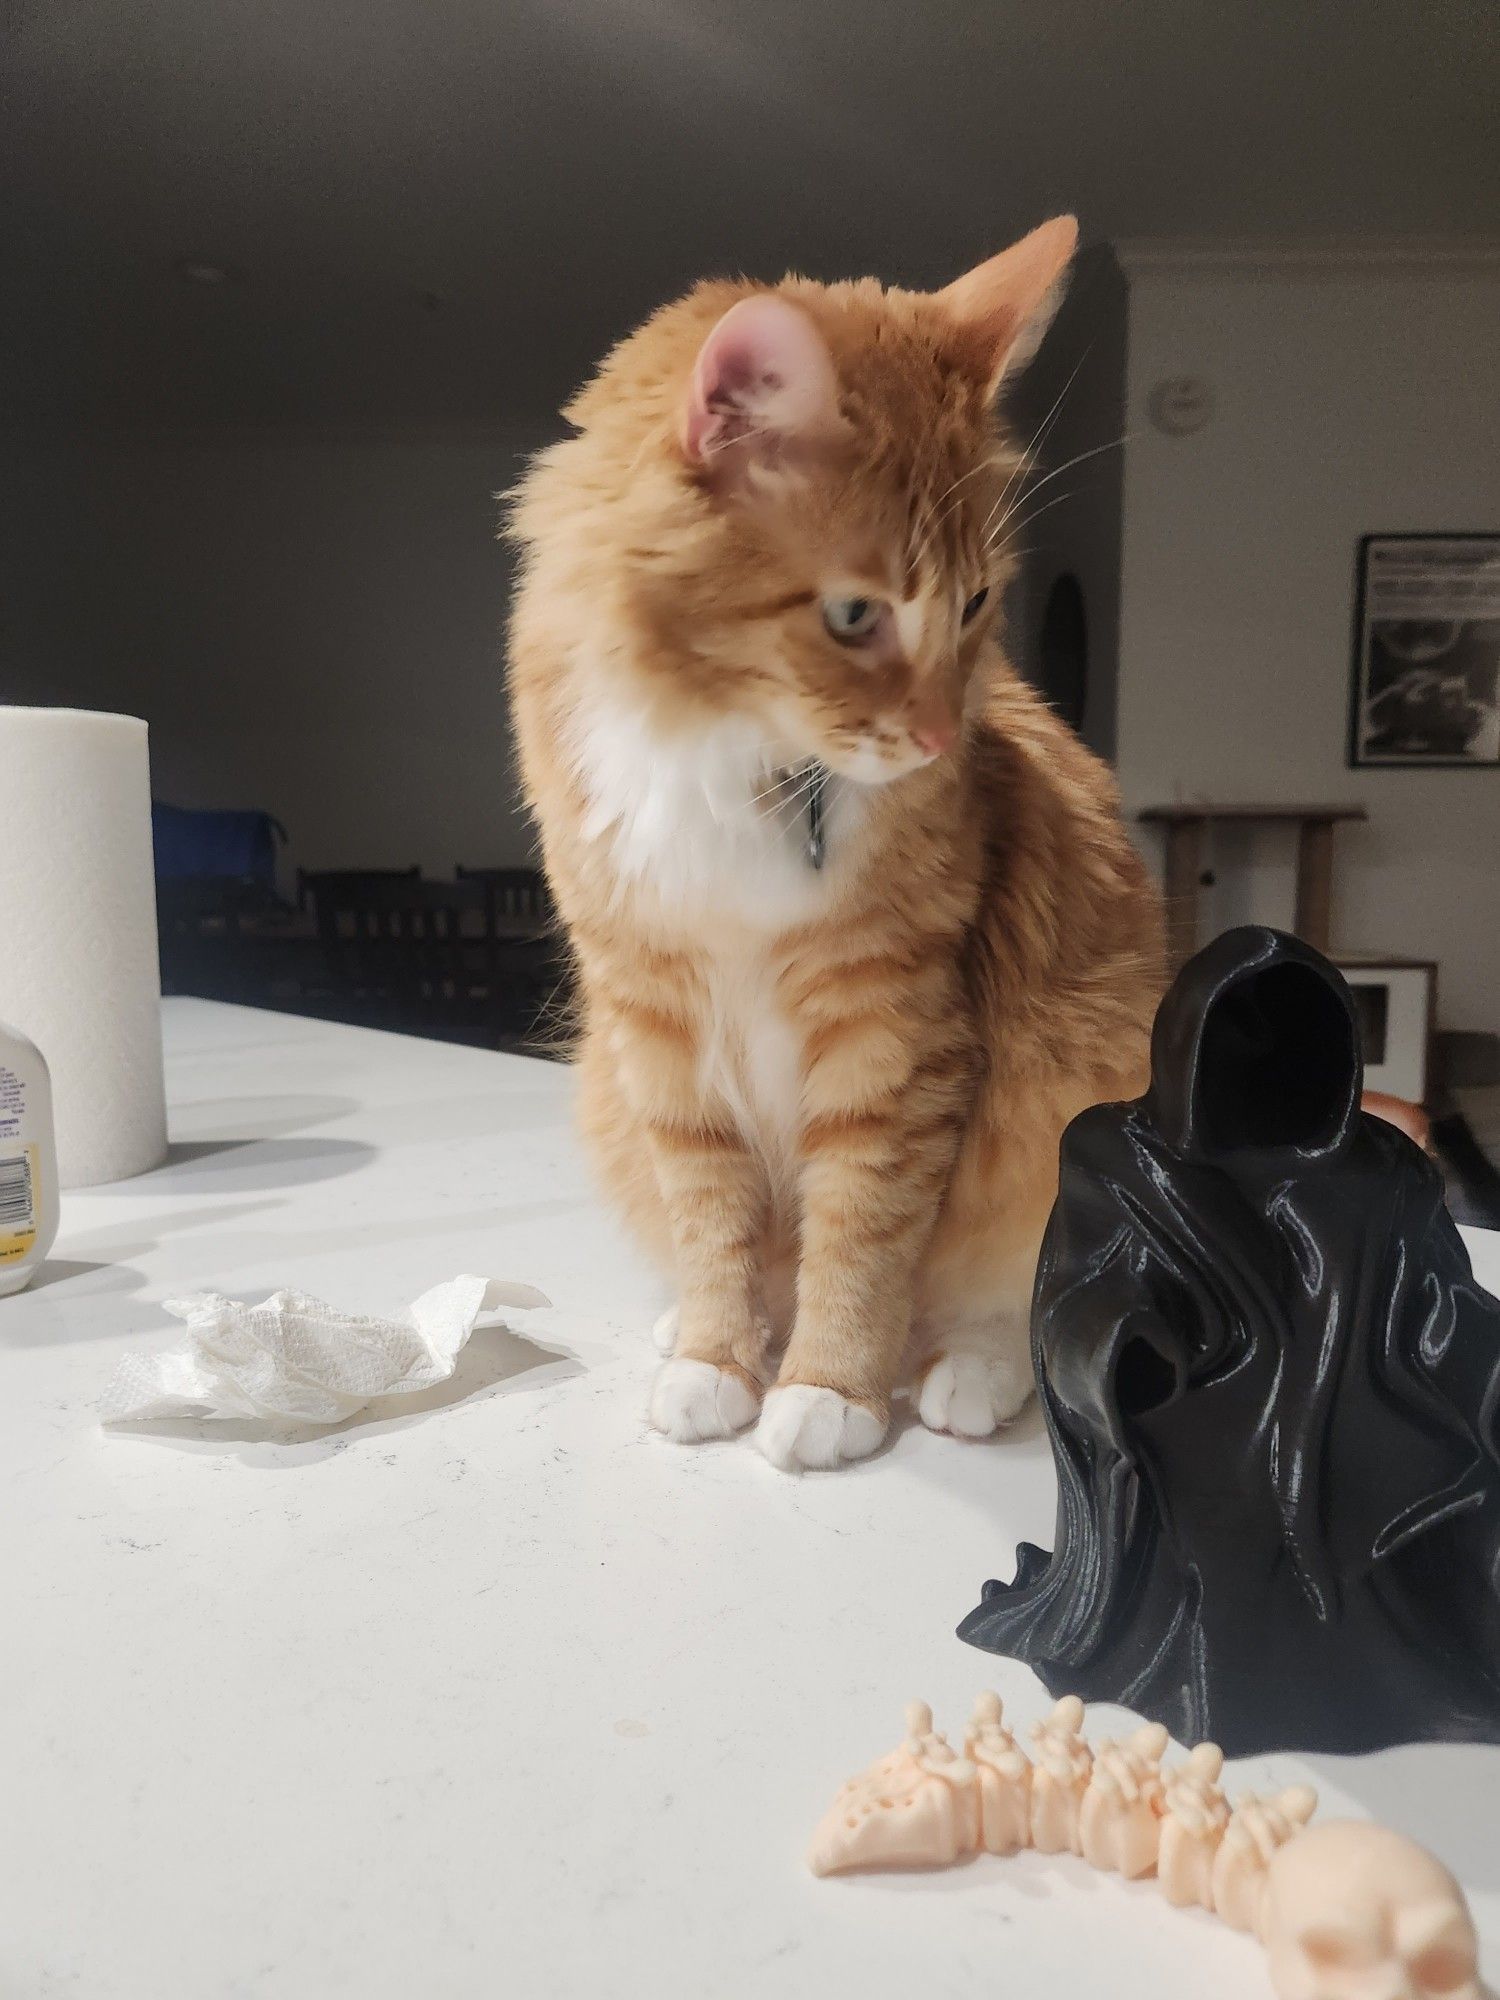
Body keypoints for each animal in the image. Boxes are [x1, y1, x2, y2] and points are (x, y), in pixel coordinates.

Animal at [512, 219, 1168, 1472]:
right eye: (855, 616)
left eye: (974, 604)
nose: (936, 735)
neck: (734, 757)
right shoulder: (657, 1028)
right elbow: (714, 1222)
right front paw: (717, 1358)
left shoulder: (892, 1033)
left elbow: (862, 1236)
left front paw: (829, 1389)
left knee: (1006, 1303)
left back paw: (964, 1373)